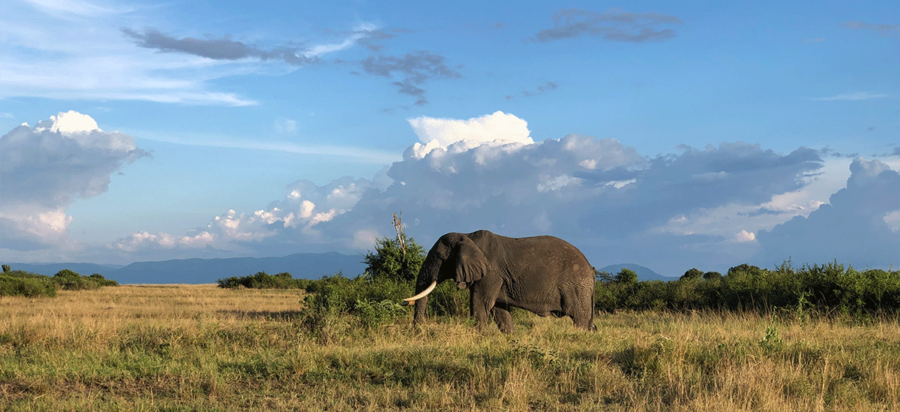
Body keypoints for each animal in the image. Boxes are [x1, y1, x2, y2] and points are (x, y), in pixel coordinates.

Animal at [402, 230, 596, 334]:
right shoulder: (499, 278)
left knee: (580, 318)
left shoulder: (491, 273)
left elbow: (480, 304)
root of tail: (591, 269)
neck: (467, 235)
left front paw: (478, 336)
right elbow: (499, 309)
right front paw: (510, 337)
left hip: (577, 286)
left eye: (440, 258)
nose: (417, 330)